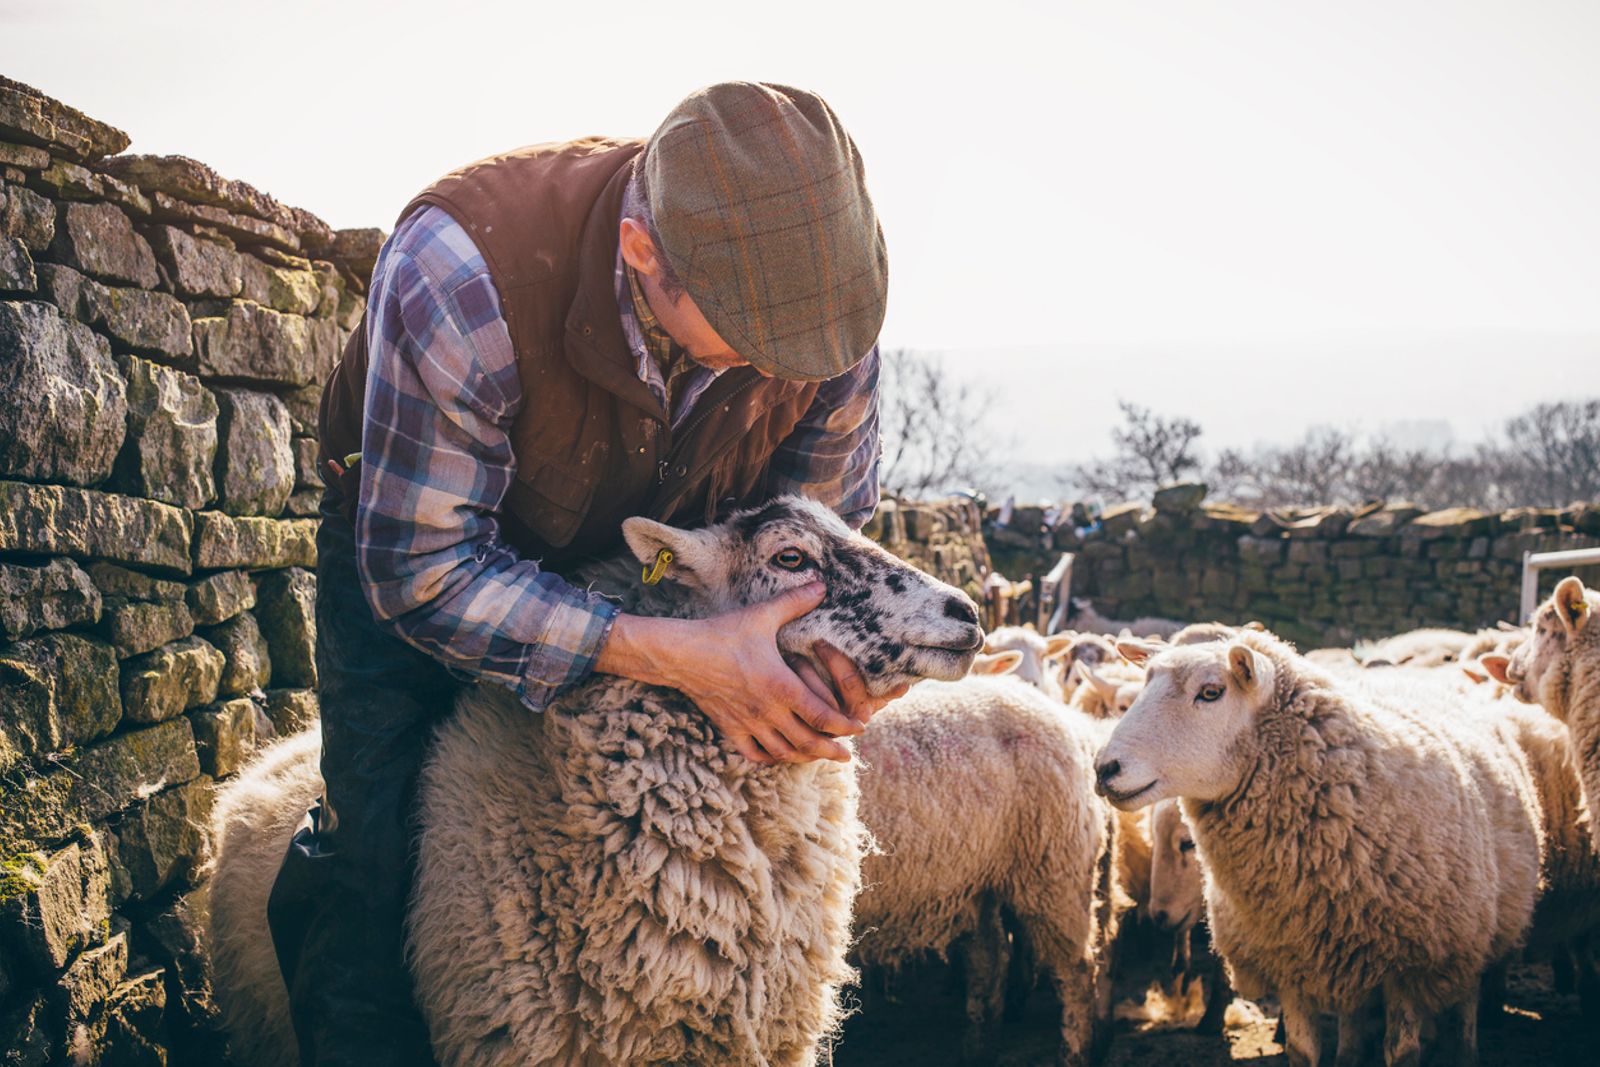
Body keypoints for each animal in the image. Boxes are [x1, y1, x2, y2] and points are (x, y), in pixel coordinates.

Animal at [853, 673, 1120, 1066]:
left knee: (1077, 970)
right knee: (991, 960)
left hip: (1052, 871)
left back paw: (1074, 1053)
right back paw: (979, 1048)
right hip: (979, 878)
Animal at [1093, 629, 1542, 1066]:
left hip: (1475, 929)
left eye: (1210, 692)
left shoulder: (1410, 964)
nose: (1104, 768)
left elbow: (1403, 1052)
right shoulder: (1293, 960)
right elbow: (1302, 1051)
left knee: (1466, 999)